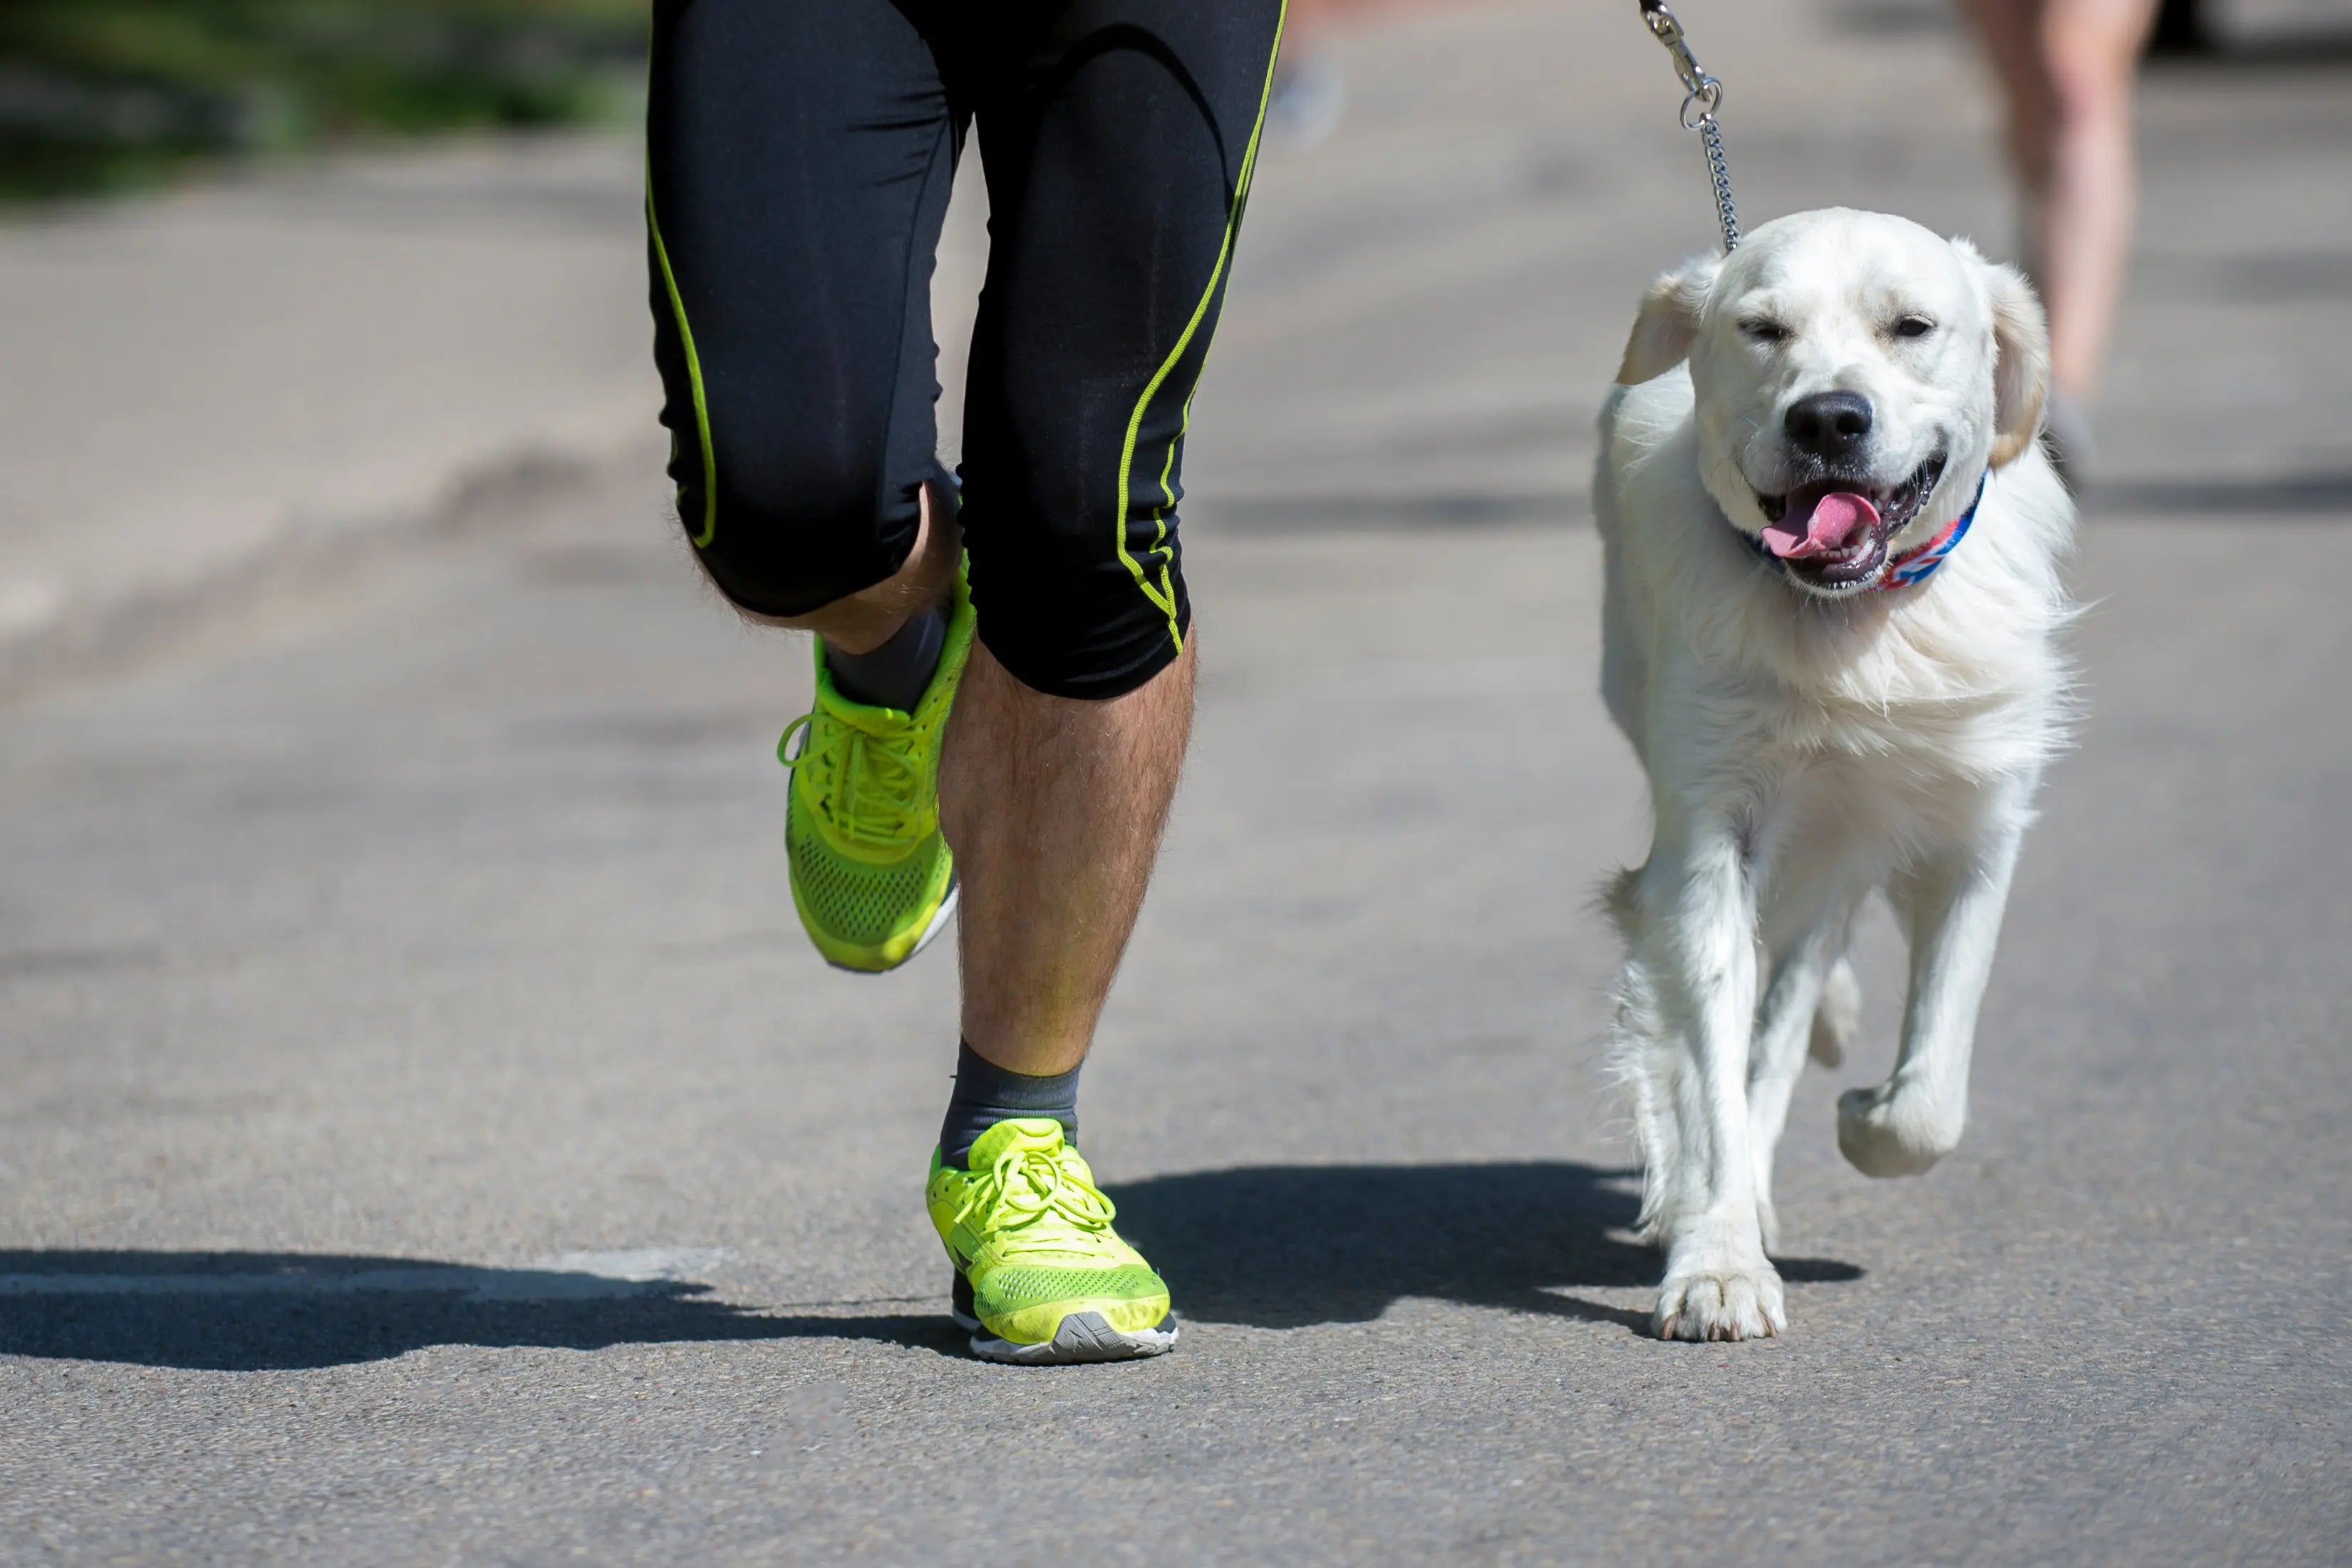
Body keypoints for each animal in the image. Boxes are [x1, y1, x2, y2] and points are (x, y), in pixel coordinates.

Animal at [1599, 205, 2079, 1335]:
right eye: (1762, 329)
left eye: (1911, 326)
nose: (1827, 419)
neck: (1852, 622)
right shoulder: (1709, 832)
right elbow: (1711, 1061)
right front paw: (1718, 1262)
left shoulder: (1973, 824)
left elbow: (1930, 1097)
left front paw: (1867, 1114)